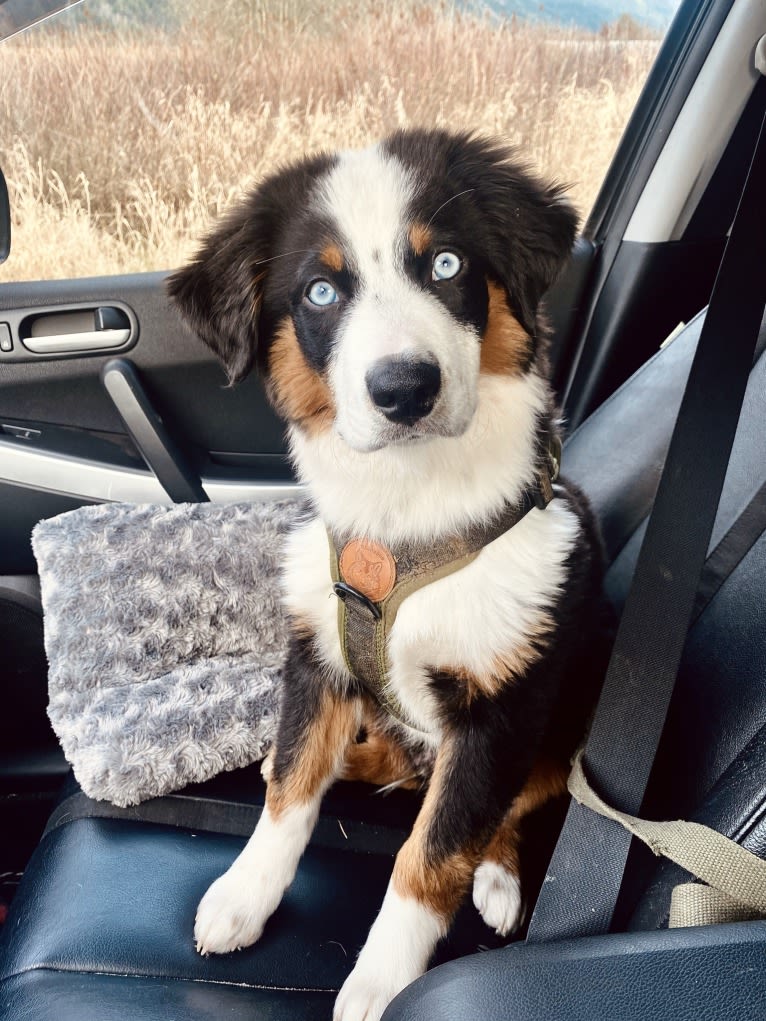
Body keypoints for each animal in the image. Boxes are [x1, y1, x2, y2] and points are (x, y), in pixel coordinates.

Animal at [170, 129, 608, 1021]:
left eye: (445, 264)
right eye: (320, 290)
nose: (405, 389)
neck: (410, 516)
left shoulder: (499, 712)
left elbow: (432, 852)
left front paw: (381, 982)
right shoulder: (319, 656)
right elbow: (290, 784)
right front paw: (243, 894)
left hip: (567, 715)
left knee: (499, 804)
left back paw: (500, 876)